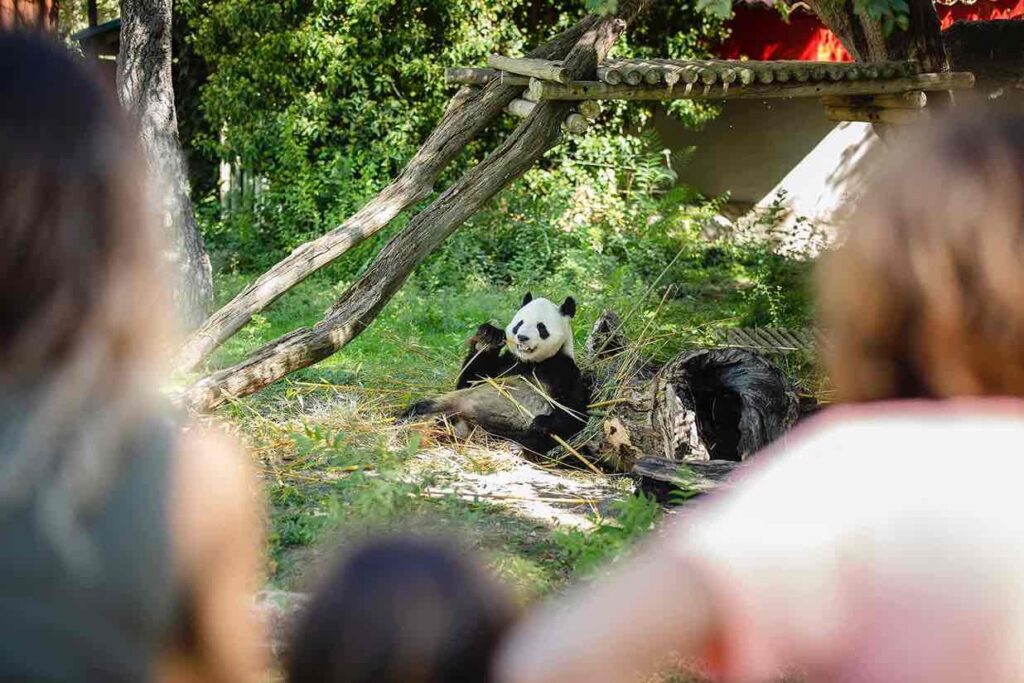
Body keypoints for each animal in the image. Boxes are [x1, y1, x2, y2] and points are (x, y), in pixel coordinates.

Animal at [404, 292, 591, 454]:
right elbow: (469, 381)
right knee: (424, 407)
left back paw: (514, 446)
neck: (532, 362)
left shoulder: (563, 369)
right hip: (449, 404)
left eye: (541, 327)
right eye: (519, 324)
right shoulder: (507, 364)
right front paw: (488, 338)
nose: (522, 337)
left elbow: (574, 410)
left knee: (531, 439)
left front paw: (541, 423)